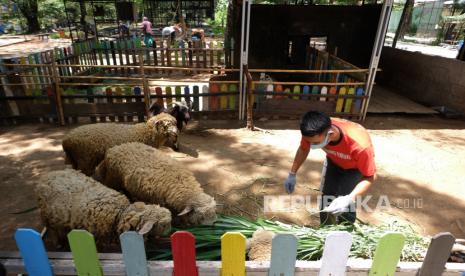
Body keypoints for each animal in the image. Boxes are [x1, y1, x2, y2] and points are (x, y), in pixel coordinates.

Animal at [35, 168, 171, 248]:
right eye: (163, 224)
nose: (171, 230)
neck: (120, 213)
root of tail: (48, 174)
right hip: (47, 216)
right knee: (52, 230)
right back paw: (57, 243)